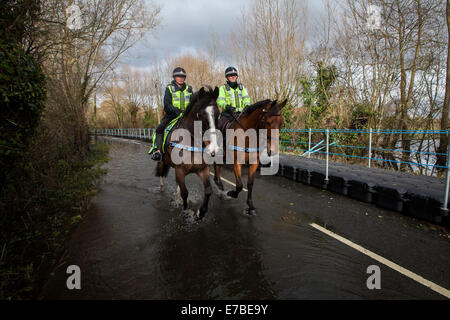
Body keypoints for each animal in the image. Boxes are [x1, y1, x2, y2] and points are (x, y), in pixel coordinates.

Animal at [156, 86, 221, 221]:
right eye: (200, 115)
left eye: (218, 114)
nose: (213, 148)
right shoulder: (180, 170)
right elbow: (185, 192)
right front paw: (186, 210)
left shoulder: (202, 169)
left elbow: (208, 190)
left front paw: (200, 213)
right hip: (162, 161)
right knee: (161, 173)